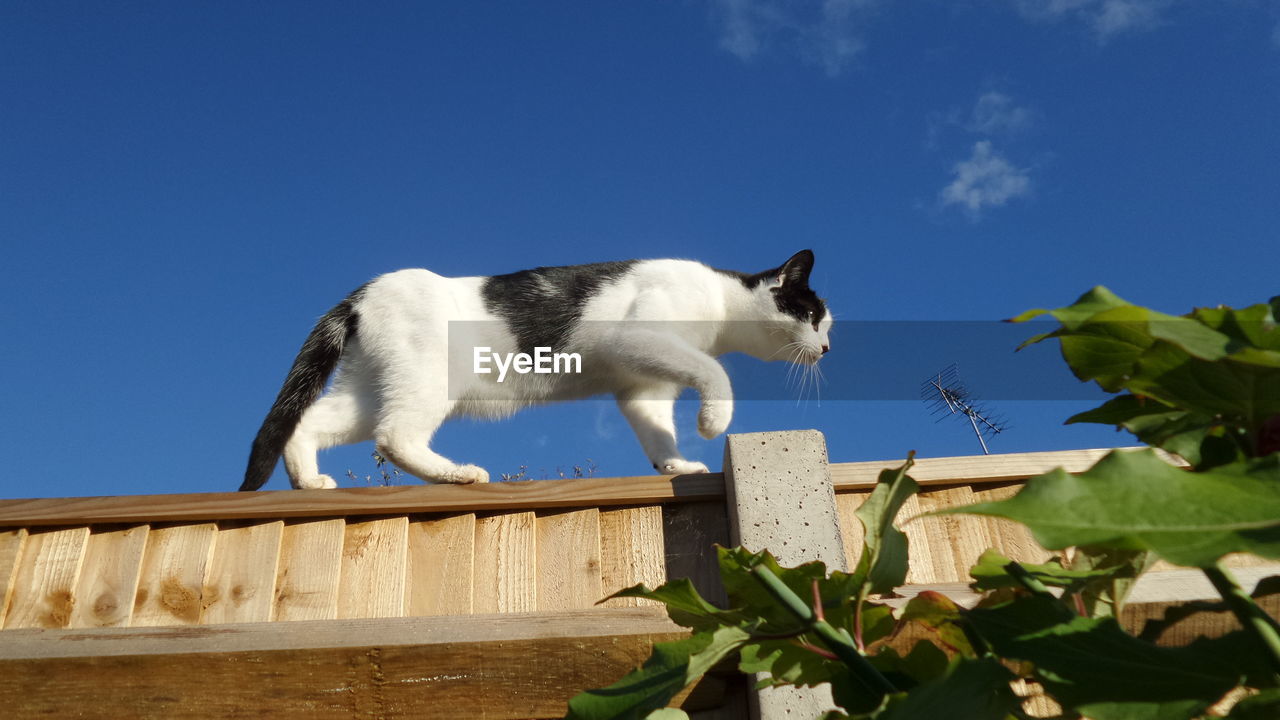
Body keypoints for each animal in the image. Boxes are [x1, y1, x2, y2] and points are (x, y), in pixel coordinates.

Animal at [241, 249, 829, 489]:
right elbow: (715, 372)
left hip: (371, 387)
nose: (825, 349)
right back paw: (459, 473)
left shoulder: (643, 385)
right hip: (428, 382)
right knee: (394, 436)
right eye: (814, 317)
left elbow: (657, 431)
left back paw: (309, 480)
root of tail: (363, 292)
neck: (720, 301)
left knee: (308, 422)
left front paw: (676, 465)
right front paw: (713, 422)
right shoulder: (638, 339)